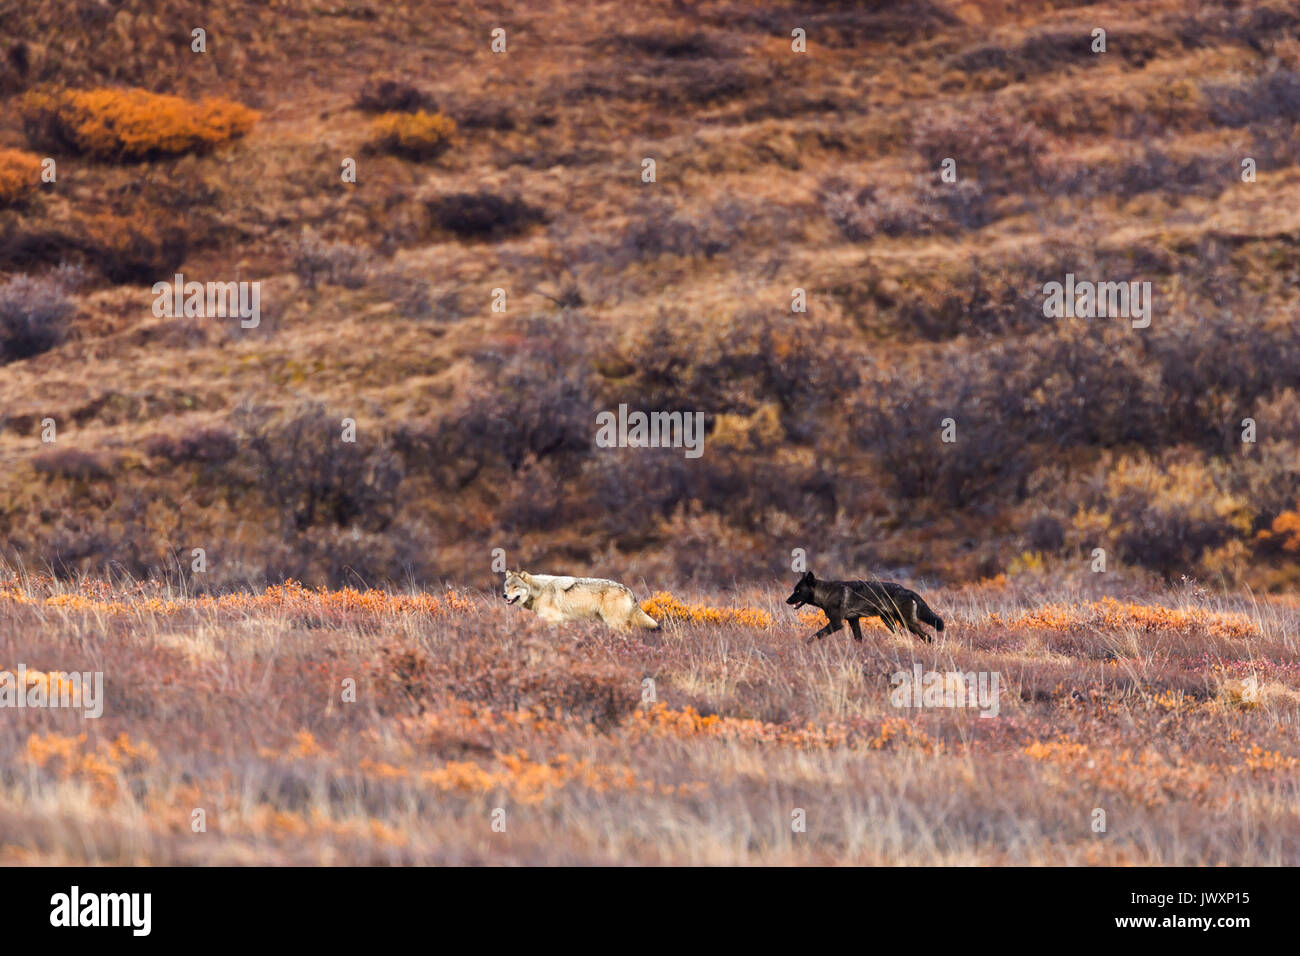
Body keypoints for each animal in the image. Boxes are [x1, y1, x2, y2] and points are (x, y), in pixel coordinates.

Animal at [499, 572, 660, 632]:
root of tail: (628, 589)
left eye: (515, 587)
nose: (504, 595)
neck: (539, 591)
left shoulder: (553, 619)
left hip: (614, 623)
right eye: (507, 586)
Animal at [780, 572, 946, 647]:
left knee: (927, 637)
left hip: (907, 623)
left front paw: (805, 645)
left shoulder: (836, 624)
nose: (787, 600)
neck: (826, 593)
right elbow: (858, 639)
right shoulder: (853, 620)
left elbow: (815, 635)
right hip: (890, 623)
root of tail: (907, 590)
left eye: (798, 591)